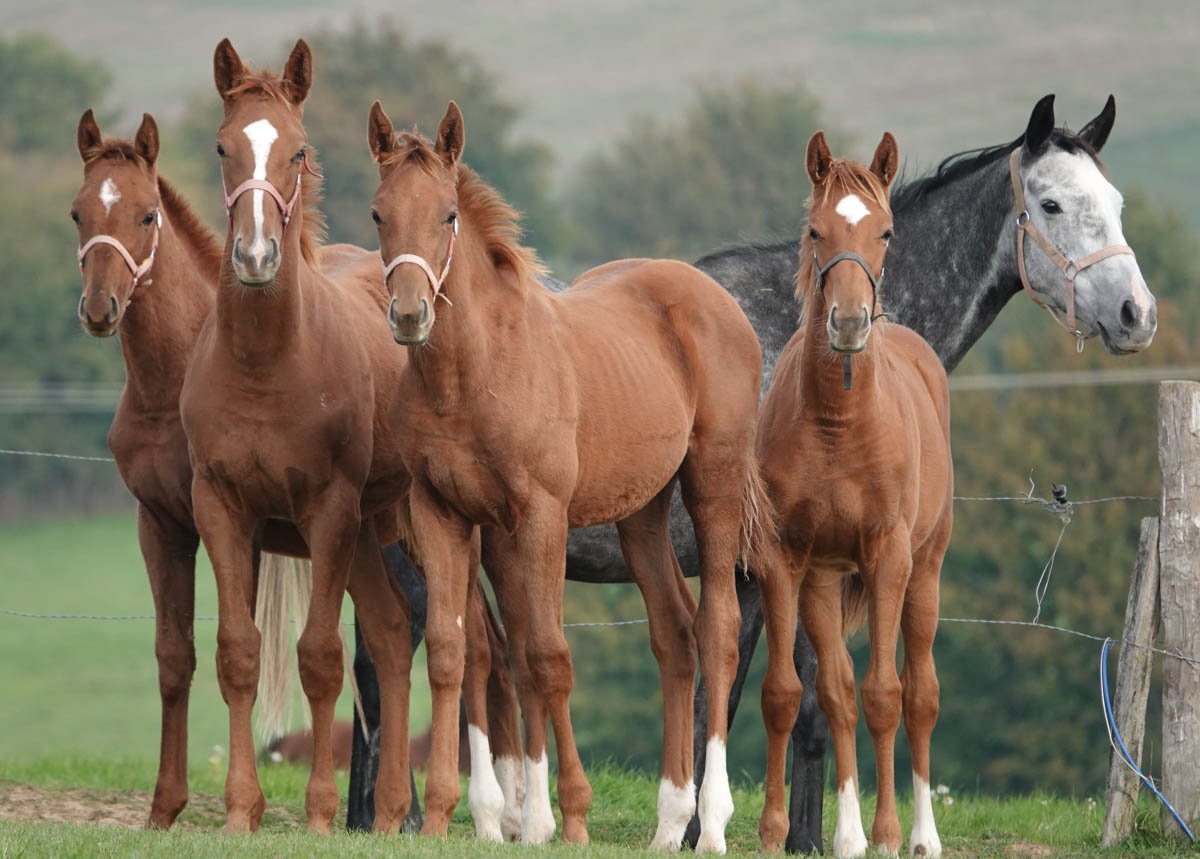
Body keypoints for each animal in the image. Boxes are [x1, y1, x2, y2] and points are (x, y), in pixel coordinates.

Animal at [368, 99, 769, 851]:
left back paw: (712, 823)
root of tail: (712, 296)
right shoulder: (445, 515)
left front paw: (564, 817)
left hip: (714, 482)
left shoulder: (541, 515)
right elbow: (454, 649)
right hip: (641, 511)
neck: (473, 373)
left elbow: (548, 657)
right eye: (379, 213)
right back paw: (669, 823)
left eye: (448, 214)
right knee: (674, 634)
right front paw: (441, 814)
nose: (409, 314)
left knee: (718, 629)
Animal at [753, 131, 953, 858]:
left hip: (925, 572)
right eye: (817, 230)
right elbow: (791, 694)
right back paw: (844, 832)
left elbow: (886, 695)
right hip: (825, 581)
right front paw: (777, 830)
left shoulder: (889, 558)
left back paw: (922, 834)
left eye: (886, 232)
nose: (846, 322)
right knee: (836, 691)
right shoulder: (785, 562)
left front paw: (889, 833)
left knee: (920, 693)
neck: (838, 424)